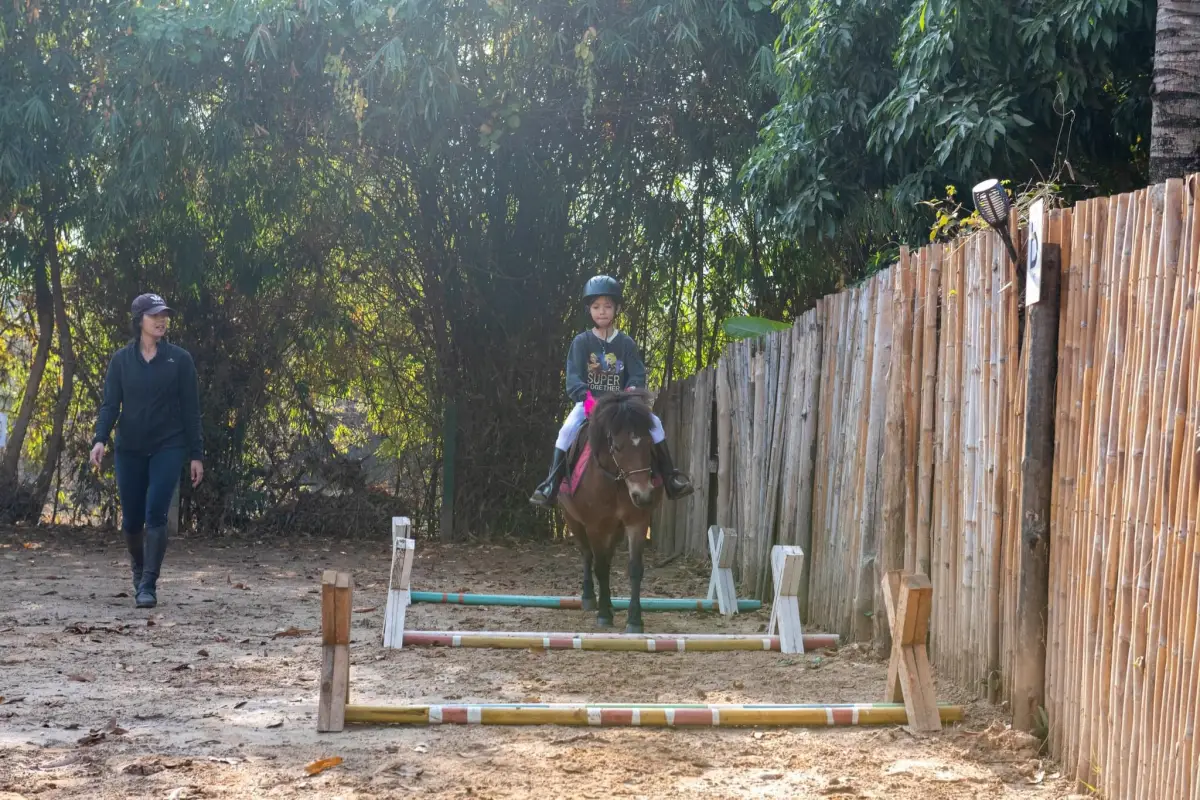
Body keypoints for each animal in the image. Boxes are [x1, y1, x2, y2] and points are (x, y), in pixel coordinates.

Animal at [557, 389, 661, 634]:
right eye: (618, 447)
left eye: (649, 444)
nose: (643, 495)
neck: (616, 480)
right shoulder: (595, 526)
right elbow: (600, 567)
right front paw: (603, 614)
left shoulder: (636, 523)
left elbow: (634, 569)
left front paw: (634, 619)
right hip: (573, 520)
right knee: (587, 555)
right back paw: (589, 599)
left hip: (615, 528)